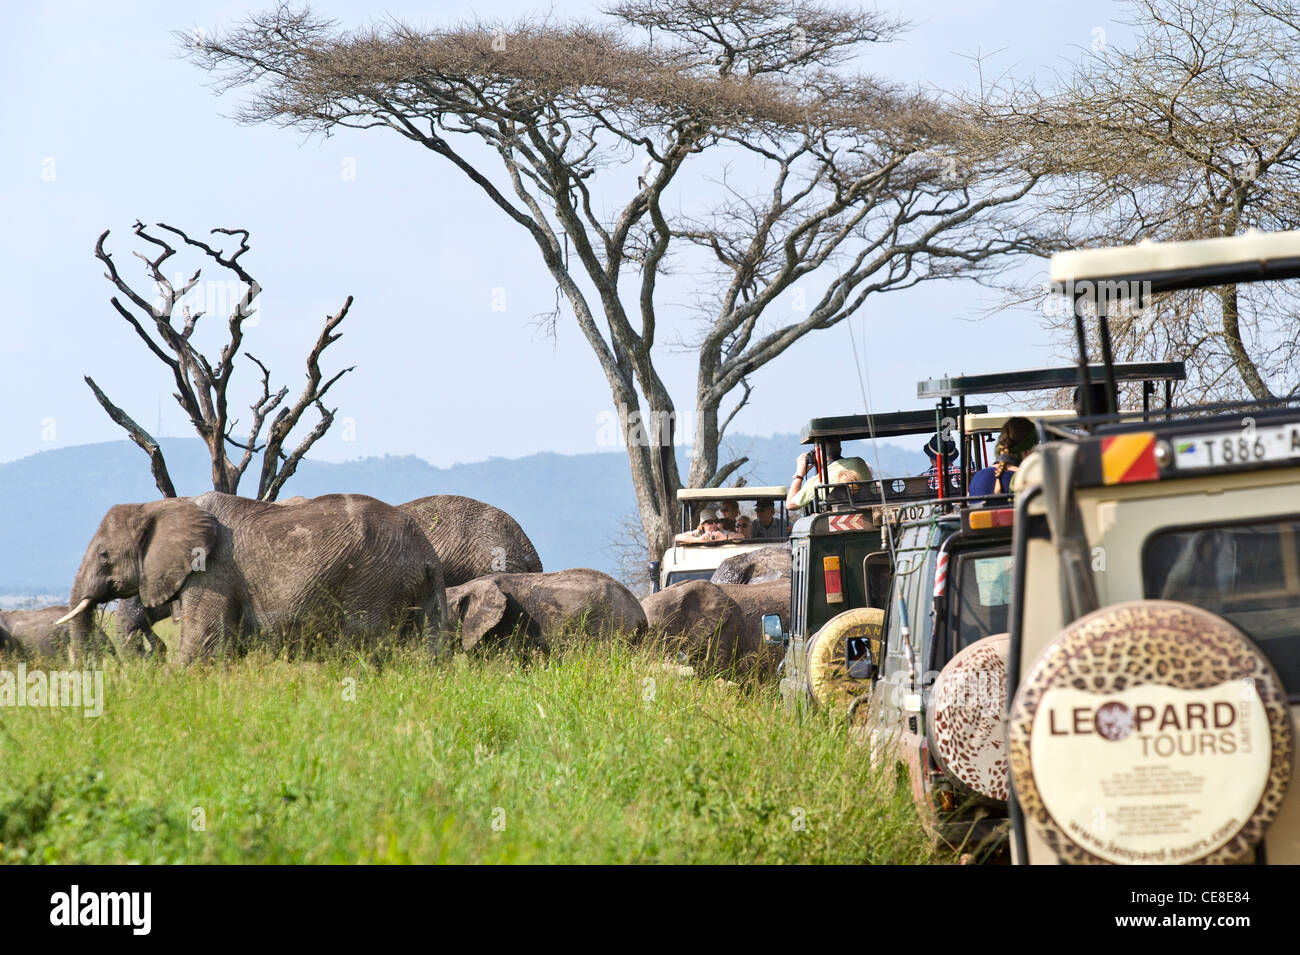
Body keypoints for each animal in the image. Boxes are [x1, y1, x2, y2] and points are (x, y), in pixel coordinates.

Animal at [59, 493, 447, 665]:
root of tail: (427, 552)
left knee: (364, 645)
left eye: (104, 555)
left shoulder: (211, 571)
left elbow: (203, 643)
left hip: (373, 582)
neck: (162, 504)